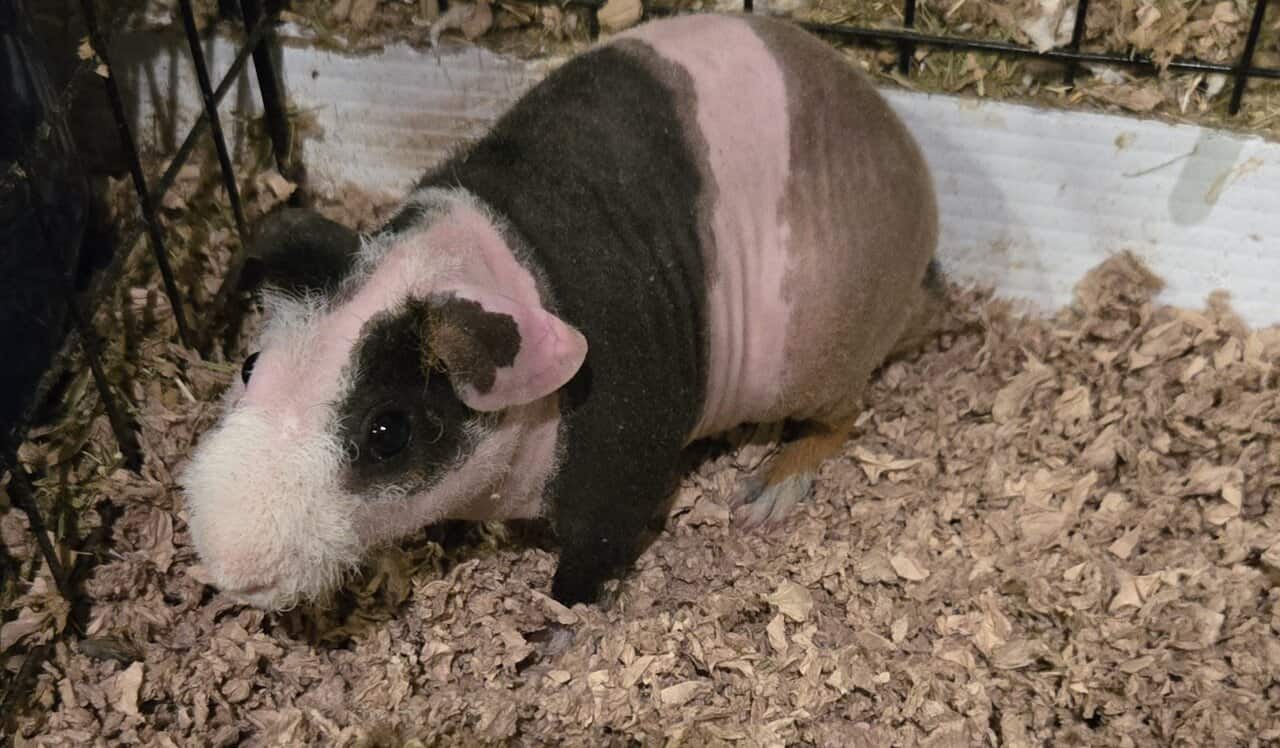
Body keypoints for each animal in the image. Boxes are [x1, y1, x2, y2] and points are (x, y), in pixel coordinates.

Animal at [181, 12, 940, 611]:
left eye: (389, 431)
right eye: (250, 363)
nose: (231, 566)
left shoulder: (623, 477)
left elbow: (585, 565)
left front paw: (552, 634)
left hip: (813, 370)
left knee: (838, 419)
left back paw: (764, 497)